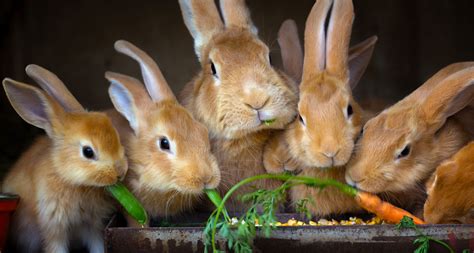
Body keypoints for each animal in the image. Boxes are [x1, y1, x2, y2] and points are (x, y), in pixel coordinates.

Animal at [1, 65, 128, 253]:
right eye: (88, 152)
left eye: (117, 137)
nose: (121, 172)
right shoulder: (54, 227)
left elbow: (97, 244)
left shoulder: (92, 225)